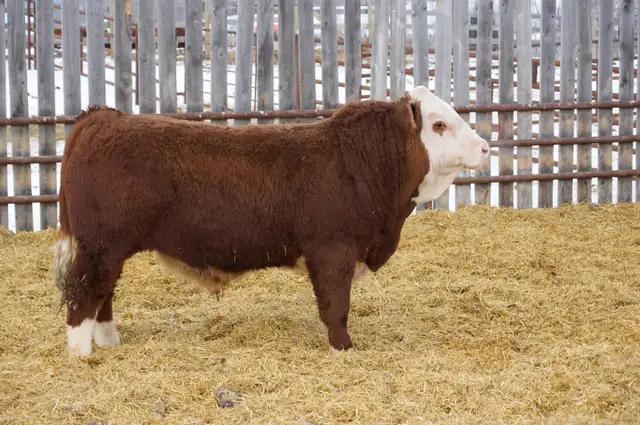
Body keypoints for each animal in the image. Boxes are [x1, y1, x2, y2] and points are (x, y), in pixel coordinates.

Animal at [52, 85, 490, 357]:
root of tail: (103, 117)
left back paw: (110, 342)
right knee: (83, 295)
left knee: (103, 296)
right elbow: (336, 305)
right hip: (100, 247)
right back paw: (82, 354)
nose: (485, 147)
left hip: (108, 251)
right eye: (439, 124)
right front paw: (344, 348)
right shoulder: (332, 251)